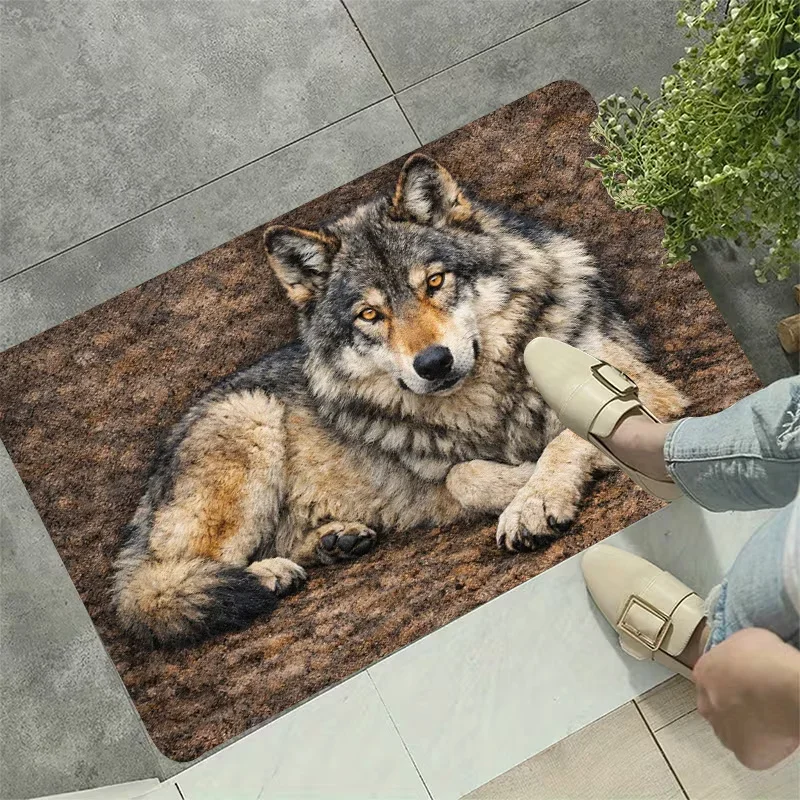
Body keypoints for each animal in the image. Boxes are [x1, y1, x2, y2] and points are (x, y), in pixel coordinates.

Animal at [113, 154, 687, 645]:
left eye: (434, 281)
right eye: (370, 314)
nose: (432, 363)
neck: (487, 400)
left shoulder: (648, 390)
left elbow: (567, 438)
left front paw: (534, 497)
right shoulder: (444, 472)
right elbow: (463, 475)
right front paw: (521, 486)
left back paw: (333, 542)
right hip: (249, 421)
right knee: (161, 586)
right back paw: (271, 574)